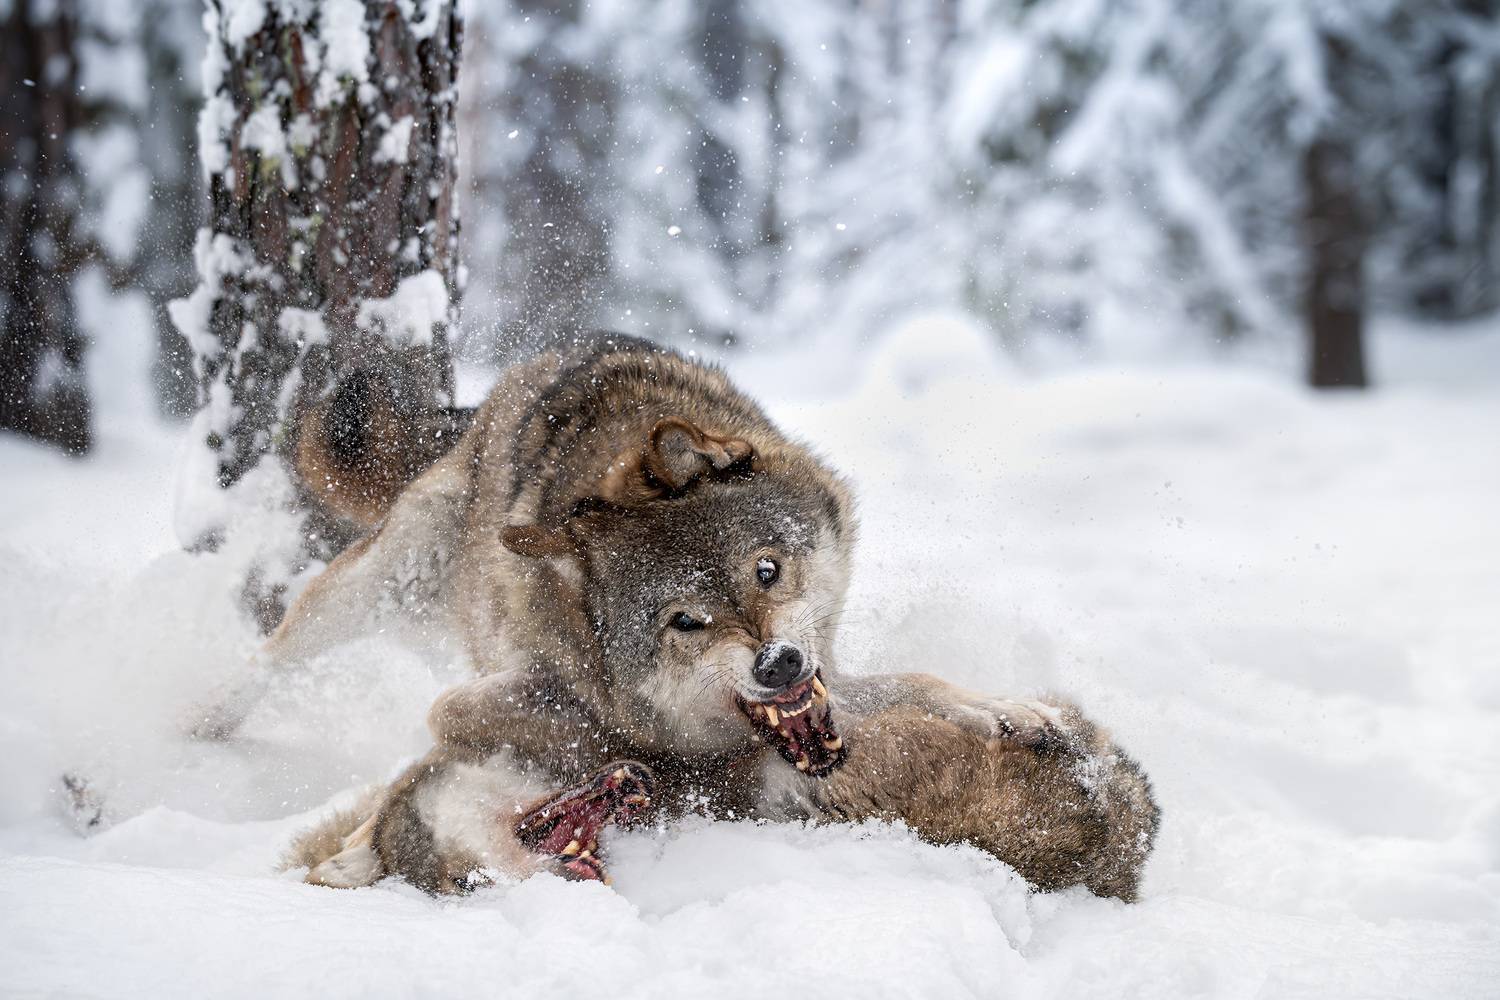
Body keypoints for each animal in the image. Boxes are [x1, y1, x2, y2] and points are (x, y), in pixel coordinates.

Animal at [207, 334, 1155, 897]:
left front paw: (1010, 710)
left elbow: (919, 682)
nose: (777, 665)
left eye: (767, 571)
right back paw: (201, 718)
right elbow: (481, 715)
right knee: (277, 647)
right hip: (387, 579)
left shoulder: (830, 675)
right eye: (684, 622)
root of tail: (517, 381)